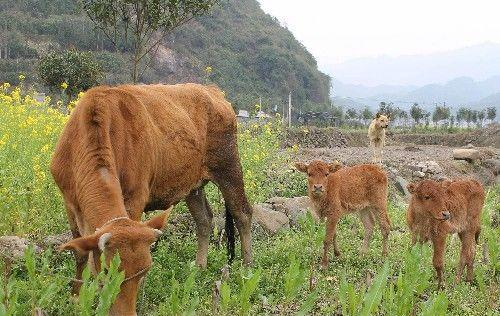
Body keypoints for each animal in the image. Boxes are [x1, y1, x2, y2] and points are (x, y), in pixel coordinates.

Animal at [51, 82, 254, 314]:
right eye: (106, 273)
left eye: (145, 270)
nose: (126, 313)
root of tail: (211, 90)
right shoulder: (69, 202)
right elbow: (80, 252)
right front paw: (75, 298)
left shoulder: (135, 199)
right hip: (192, 184)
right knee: (204, 220)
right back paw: (199, 268)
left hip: (228, 166)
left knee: (242, 213)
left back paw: (247, 267)